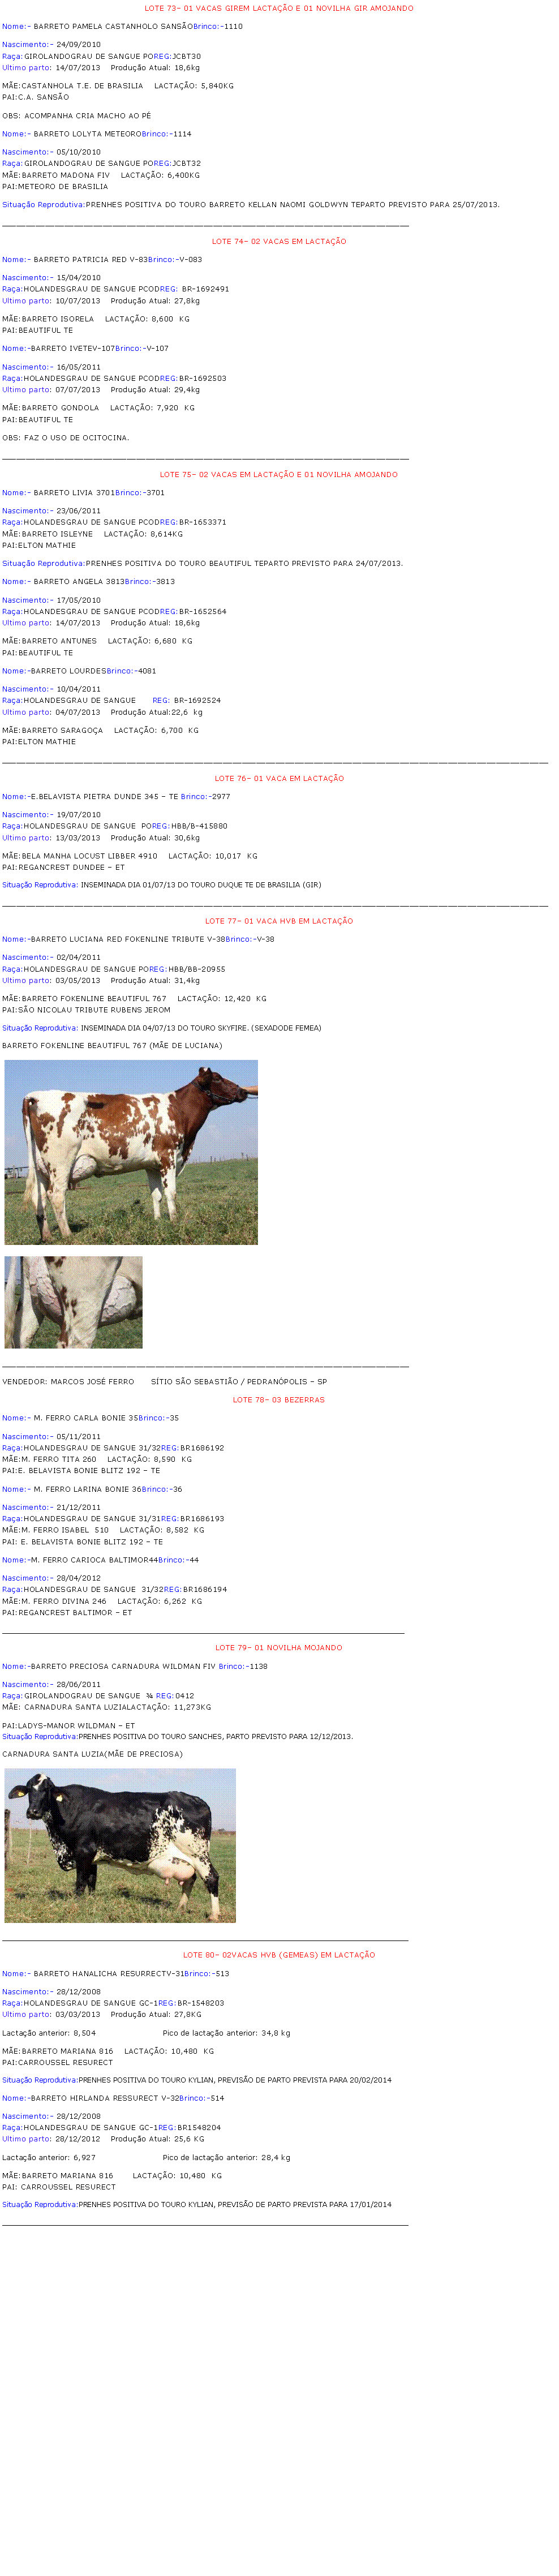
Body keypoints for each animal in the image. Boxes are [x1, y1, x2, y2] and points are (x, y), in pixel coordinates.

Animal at [8, 1775, 220, 1917]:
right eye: (29, 1790)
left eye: (48, 1790)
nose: (33, 1812)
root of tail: (197, 1800)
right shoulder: (92, 1856)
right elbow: (92, 1881)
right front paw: (91, 1902)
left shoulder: (83, 1852)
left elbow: (80, 1883)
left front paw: (77, 1905)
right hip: (187, 1858)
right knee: (191, 1879)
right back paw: (180, 1909)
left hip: (198, 1853)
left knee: (211, 1878)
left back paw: (214, 1915)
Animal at [22, 1069, 258, 1238]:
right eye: (218, 1078)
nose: (243, 1091)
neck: (179, 1110)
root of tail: (35, 1095)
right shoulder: (169, 1157)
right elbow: (171, 1193)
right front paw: (174, 1222)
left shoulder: (152, 1164)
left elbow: (156, 1195)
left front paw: (158, 1222)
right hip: (61, 1162)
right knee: (56, 1196)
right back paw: (68, 1235)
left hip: (41, 1167)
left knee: (39, 1198)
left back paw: (47, 1237)